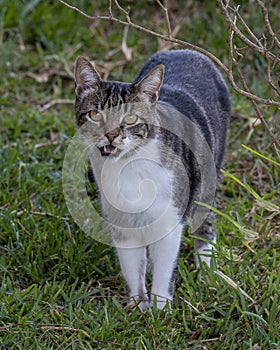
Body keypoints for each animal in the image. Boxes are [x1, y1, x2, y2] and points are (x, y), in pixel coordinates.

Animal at [73, 49, 231, 308]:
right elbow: (131, 266)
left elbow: (165, 269)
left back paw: (206, 265)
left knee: (205, 219)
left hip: (210, 171)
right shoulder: (122, 224)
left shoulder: (170, 220)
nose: (111, 135)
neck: (126, 167)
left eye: (130, 119)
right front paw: (138, 305)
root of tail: (188, 51)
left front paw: (160, 309)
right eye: (96, 114)